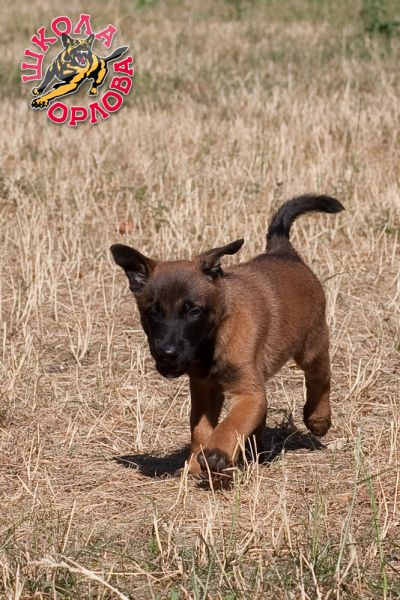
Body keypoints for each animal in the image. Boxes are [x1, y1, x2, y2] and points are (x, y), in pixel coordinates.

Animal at [111, 195, 344, 483]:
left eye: (194, 311)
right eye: (152, 312)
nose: (167, 353)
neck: (214, 338)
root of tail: (282, 251)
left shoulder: (247, 392)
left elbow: (231, 423)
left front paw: (217, 453)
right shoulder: (204, 390)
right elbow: (201, 429)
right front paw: (194, 466)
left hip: (312, 344)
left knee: (320, 377)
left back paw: (318, 419)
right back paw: (255, 451)